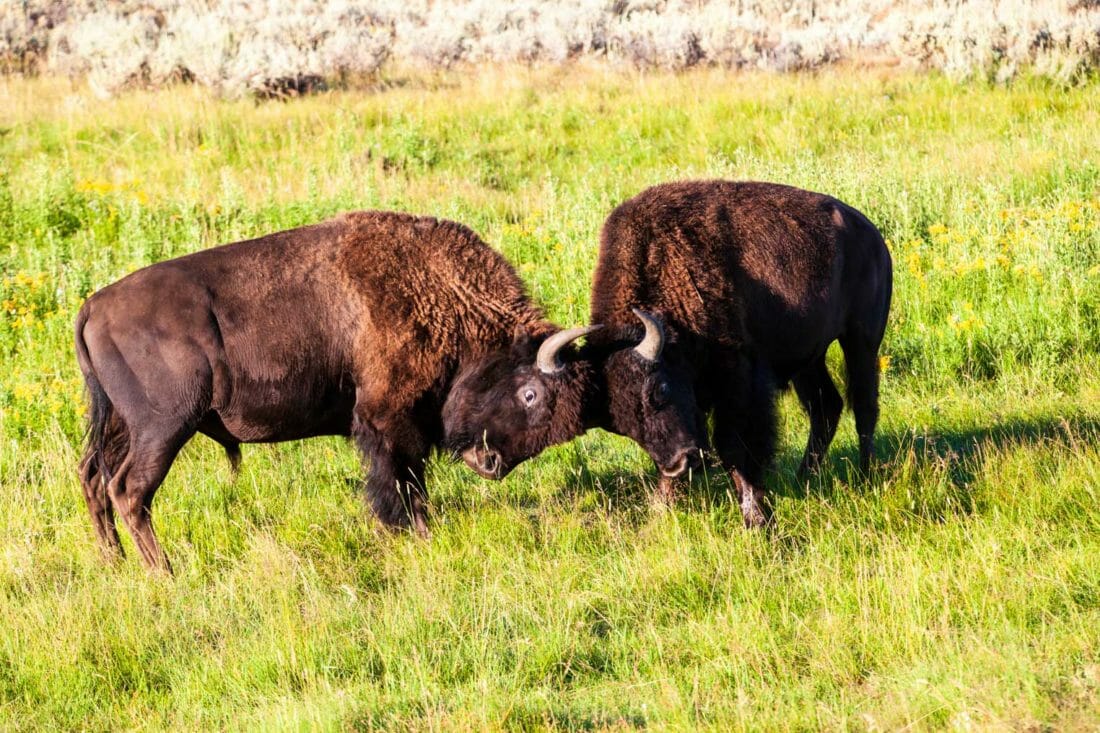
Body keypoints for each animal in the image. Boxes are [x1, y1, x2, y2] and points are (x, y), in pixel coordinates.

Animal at [75, 208, 602, 567]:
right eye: (531, 394)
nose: (491, 464)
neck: (442, 295)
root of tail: (93, 307)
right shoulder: (387, 421)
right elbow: (403, 484)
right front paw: (416, 536)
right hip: (162, 428)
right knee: (129, 489)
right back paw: (164, 572)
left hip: (119, 426)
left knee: (93, 478)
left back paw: (115, 563)